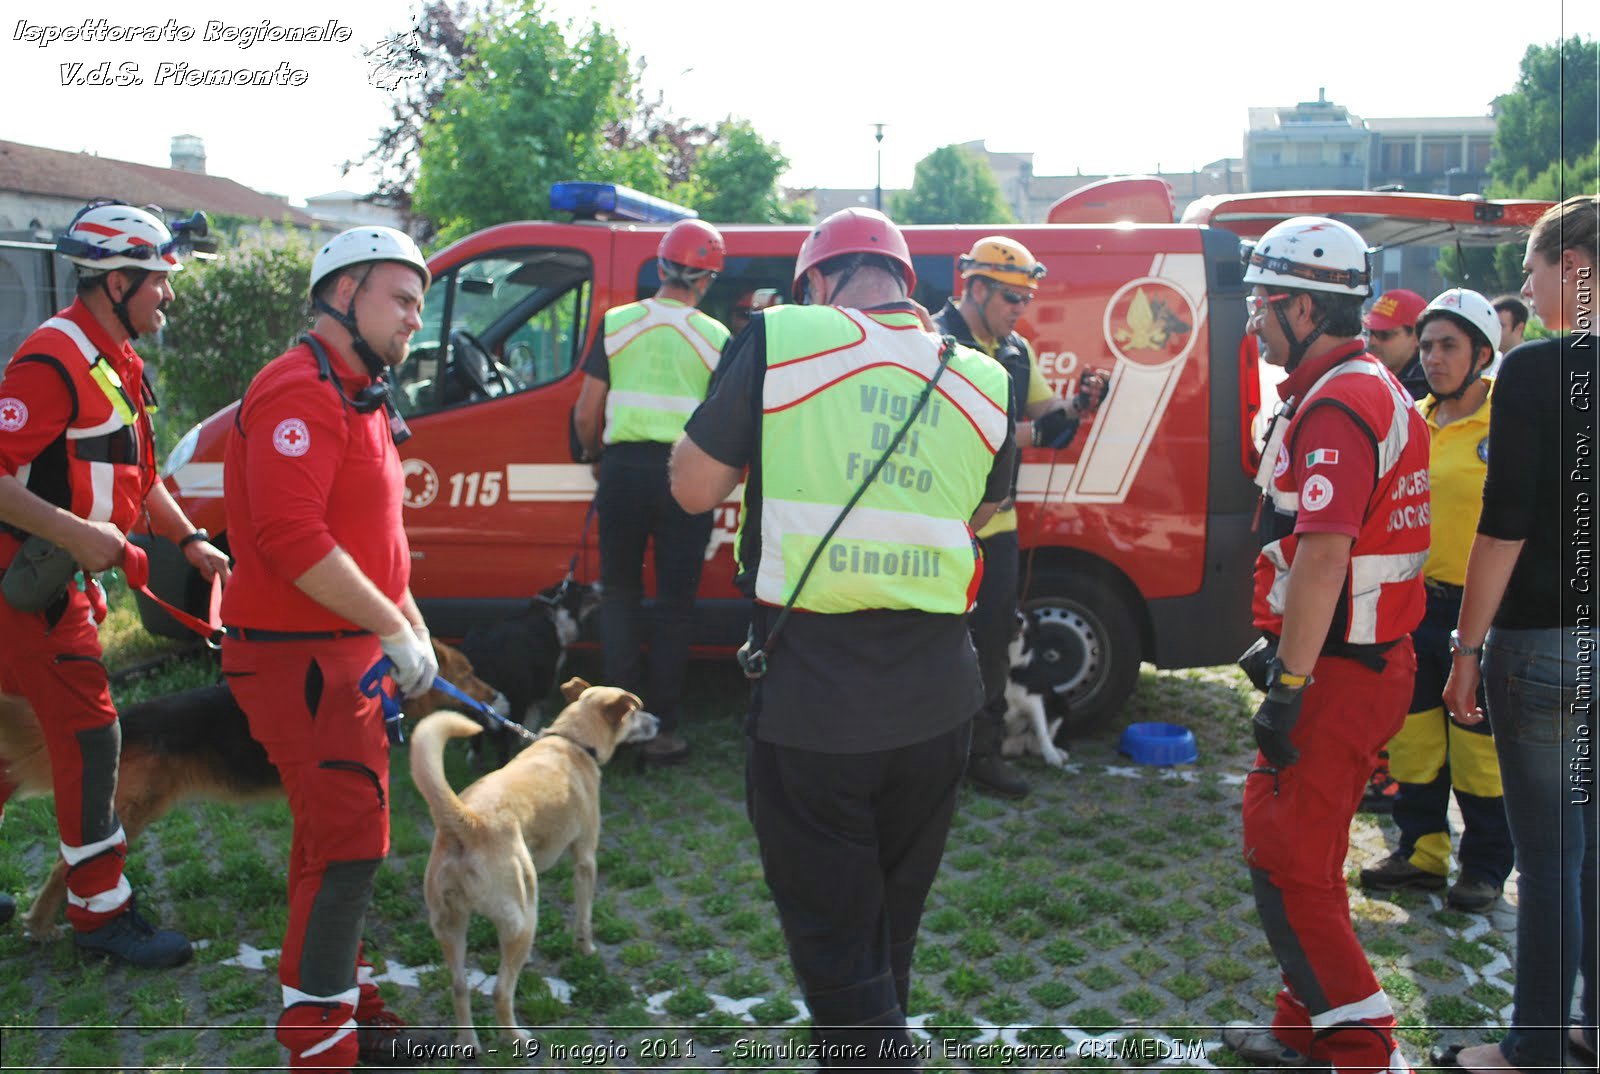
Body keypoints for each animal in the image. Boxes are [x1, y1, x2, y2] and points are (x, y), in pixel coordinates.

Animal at [0, 640, 505, 941]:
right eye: (468, 673)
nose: (496, 695)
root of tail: (129, 718)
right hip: (133, 811)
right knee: (68, 864)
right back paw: (41, 924)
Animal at [412, 675, 662, 1056]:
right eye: (635, 712)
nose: (659, 721)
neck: (571, 741)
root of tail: (467, 822)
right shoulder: (585, 858)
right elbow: (584, 918)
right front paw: (586, 949)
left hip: (449, 925)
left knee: (460, 987)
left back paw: (469, 1043)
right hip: (524, 914)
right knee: (501, 991)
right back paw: (516, 1038)